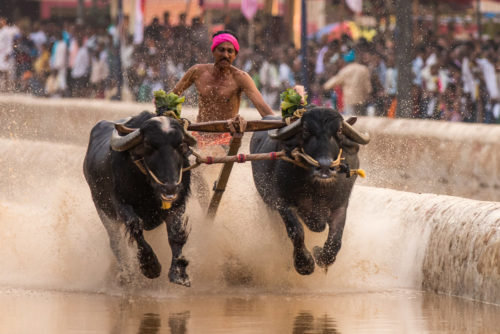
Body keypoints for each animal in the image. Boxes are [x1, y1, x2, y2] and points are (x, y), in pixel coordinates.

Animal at [84, 111, 195, 286]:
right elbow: (135, 225)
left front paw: (179, 273)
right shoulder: (120, 204)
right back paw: (126, 274)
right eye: (148, 145)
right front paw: (150, 266)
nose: (170, 187)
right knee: (116, 243)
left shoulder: (177, 204)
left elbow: (176, 235)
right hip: (103, 209)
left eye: (180, 145)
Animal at [250, 106, 372, 274]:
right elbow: (296, 231)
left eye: (339, 130)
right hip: (269, 206)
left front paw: (320, 255)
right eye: (306, 130)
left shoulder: (340, 205)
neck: (318, 190)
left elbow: (336, 240)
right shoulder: (283, 202)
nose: (325, 167)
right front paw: (304, 264)